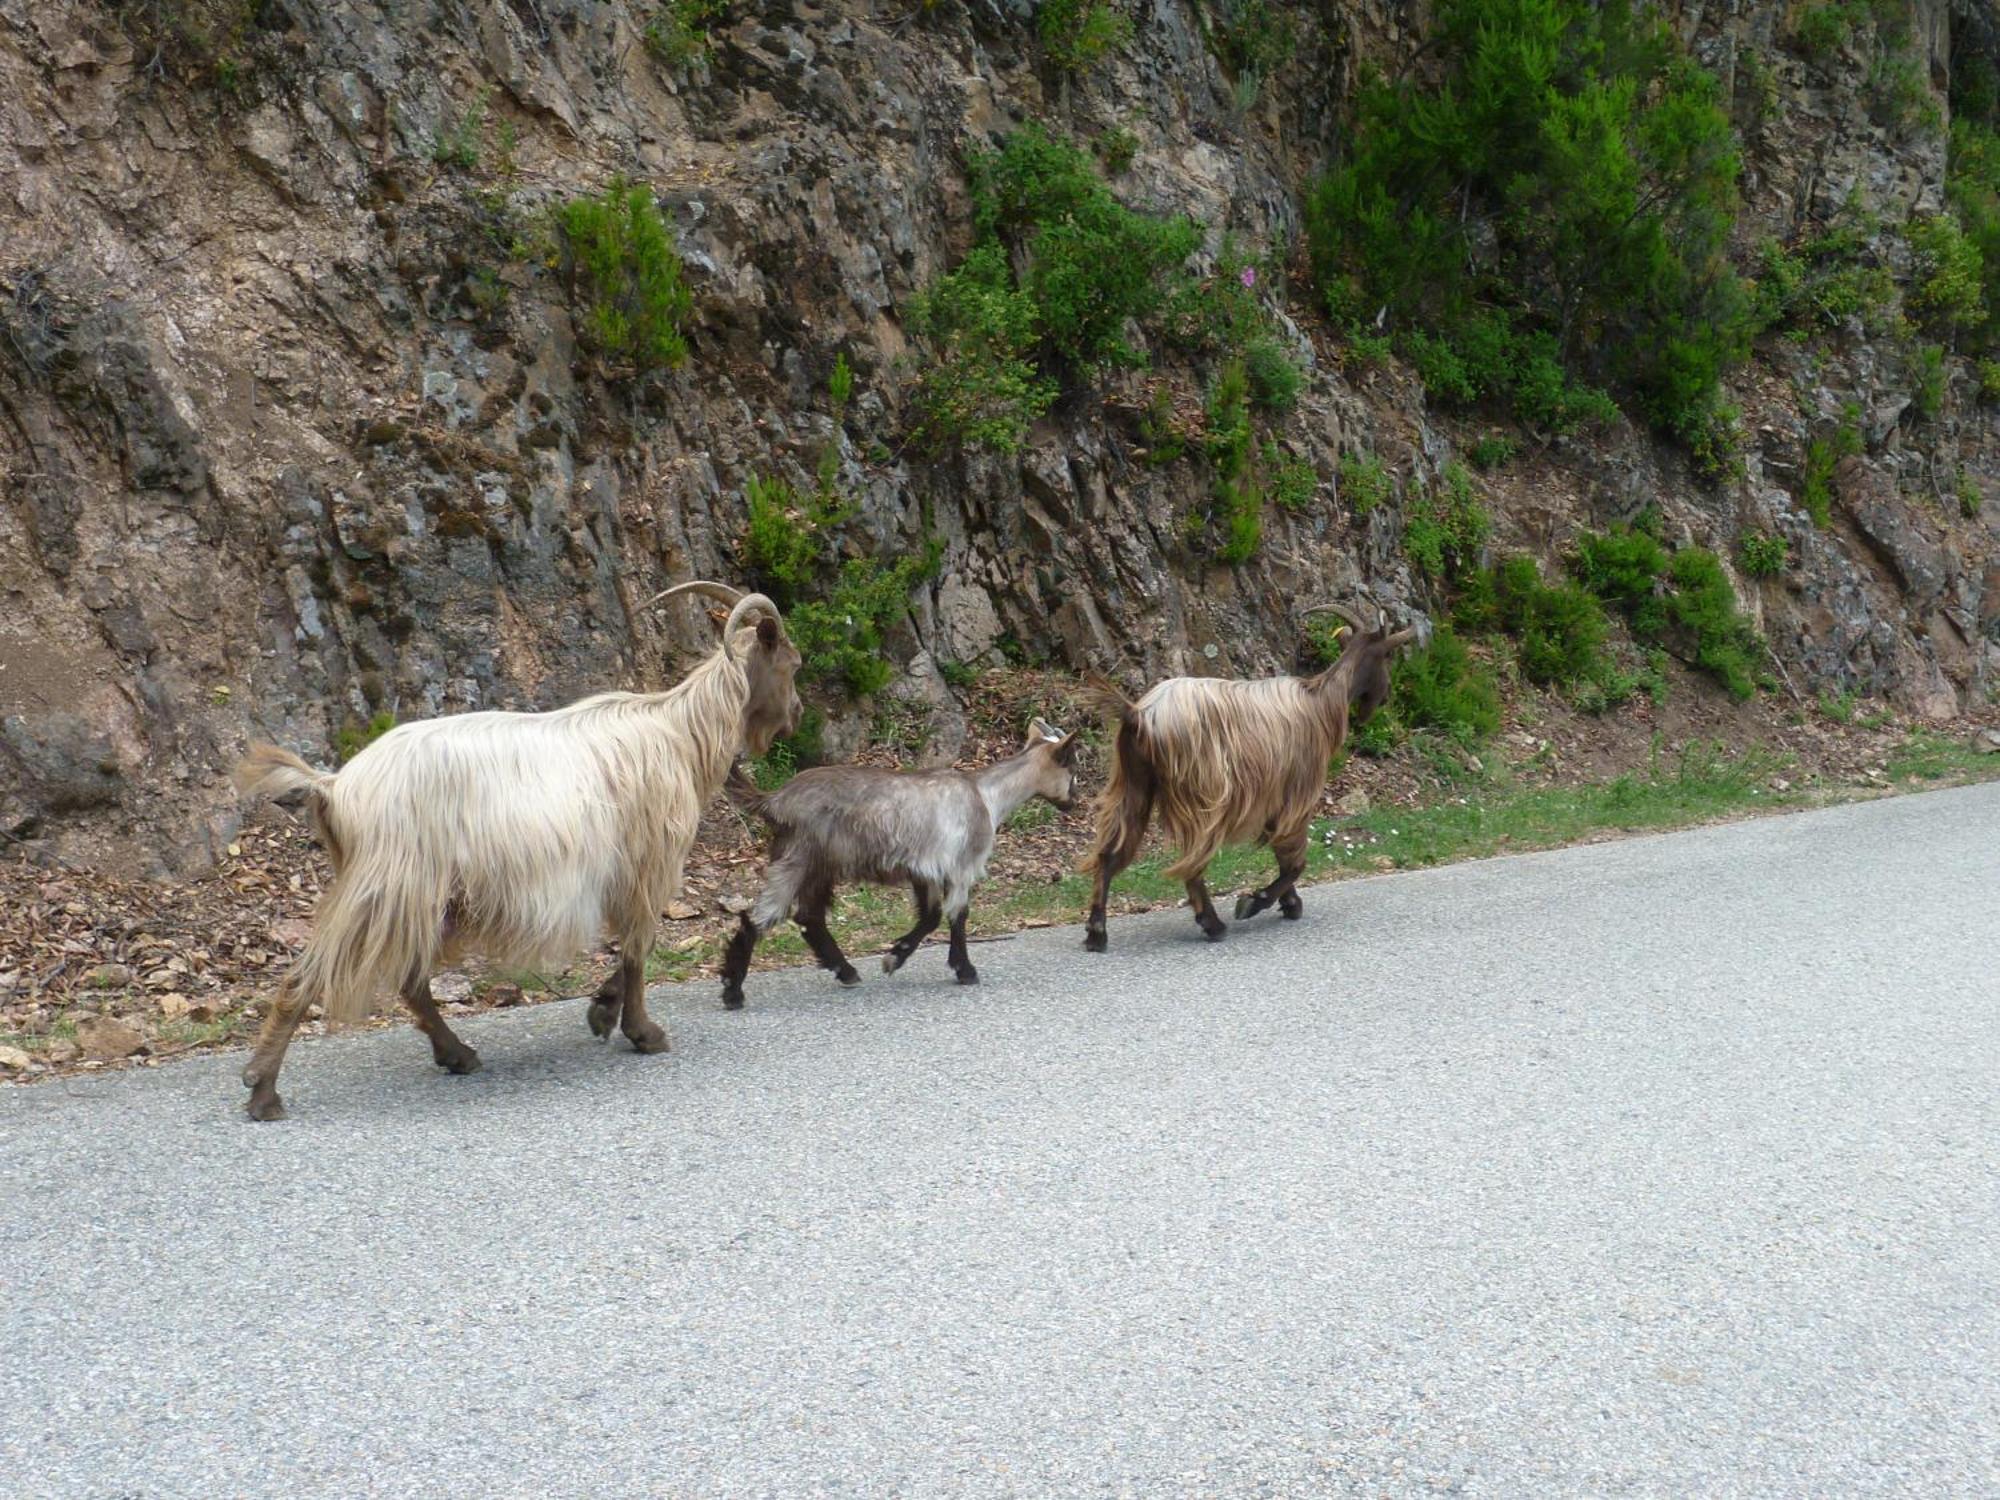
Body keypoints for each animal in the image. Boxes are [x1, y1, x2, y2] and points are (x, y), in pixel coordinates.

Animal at [232, 580, 796, 1120]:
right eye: (791, 663)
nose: (796, 713)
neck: (681, 734)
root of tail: (334, 786)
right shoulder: (646, 864)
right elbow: (639, 949)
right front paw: (643, 1031)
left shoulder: (625, 871)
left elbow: (632, 951)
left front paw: (602, 1010)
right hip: (389, 885)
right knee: (308, 978)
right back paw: (263, 1090)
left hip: (422, 895)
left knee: (411, 981)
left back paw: (456, 1054)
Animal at [1080, 608, 1424, 952]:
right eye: (1388, 654)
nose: (1385, 698)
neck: (1322, 702)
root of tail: (1138, 715)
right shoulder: (1297, 795)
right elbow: (1295, 862)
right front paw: (1256, 901)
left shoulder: (1275, 801)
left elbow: (1285, 857)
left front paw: (1288, 903)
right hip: (1201, 793)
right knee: (1193, 862)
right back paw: (1213, 924)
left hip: (1133, 783)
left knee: (1111, 853)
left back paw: (1097, 932)